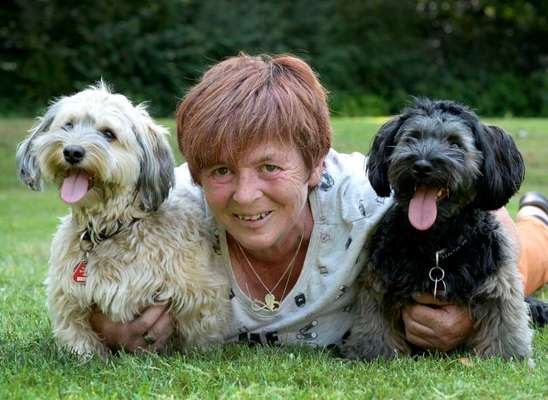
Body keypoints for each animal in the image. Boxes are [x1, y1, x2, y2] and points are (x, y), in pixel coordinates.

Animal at [15, 83, 229, 354]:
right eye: (68, 125)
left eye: (108, 134)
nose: (72, 152)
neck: (111, 229)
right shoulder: (69, 299)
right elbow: (79, 340)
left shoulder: (200, 298)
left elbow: (199, 337)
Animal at [344, 99, 532, 360]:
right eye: (413, 137)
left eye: (455, 143)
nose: (422, 165)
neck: (436, 245)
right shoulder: (378, 281)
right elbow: (374, 323)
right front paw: (373, 353)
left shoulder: (497, 276)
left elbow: (505, 319)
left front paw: (508, 356)